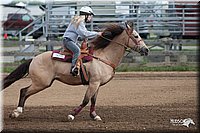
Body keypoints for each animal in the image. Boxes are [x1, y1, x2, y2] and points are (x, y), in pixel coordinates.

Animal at [1, 22, 148, 121]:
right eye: (136, 35)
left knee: (24, 92)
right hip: (41, 83)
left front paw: (94, 116)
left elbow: (93, 100)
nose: (146, 50)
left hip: (42, 83)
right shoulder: (93, 83)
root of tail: (34, 59)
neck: (104, 56)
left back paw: (16, 112)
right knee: (24, 91)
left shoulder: (97, 84)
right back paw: (16, 112)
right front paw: (71, 115)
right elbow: (86, 100)